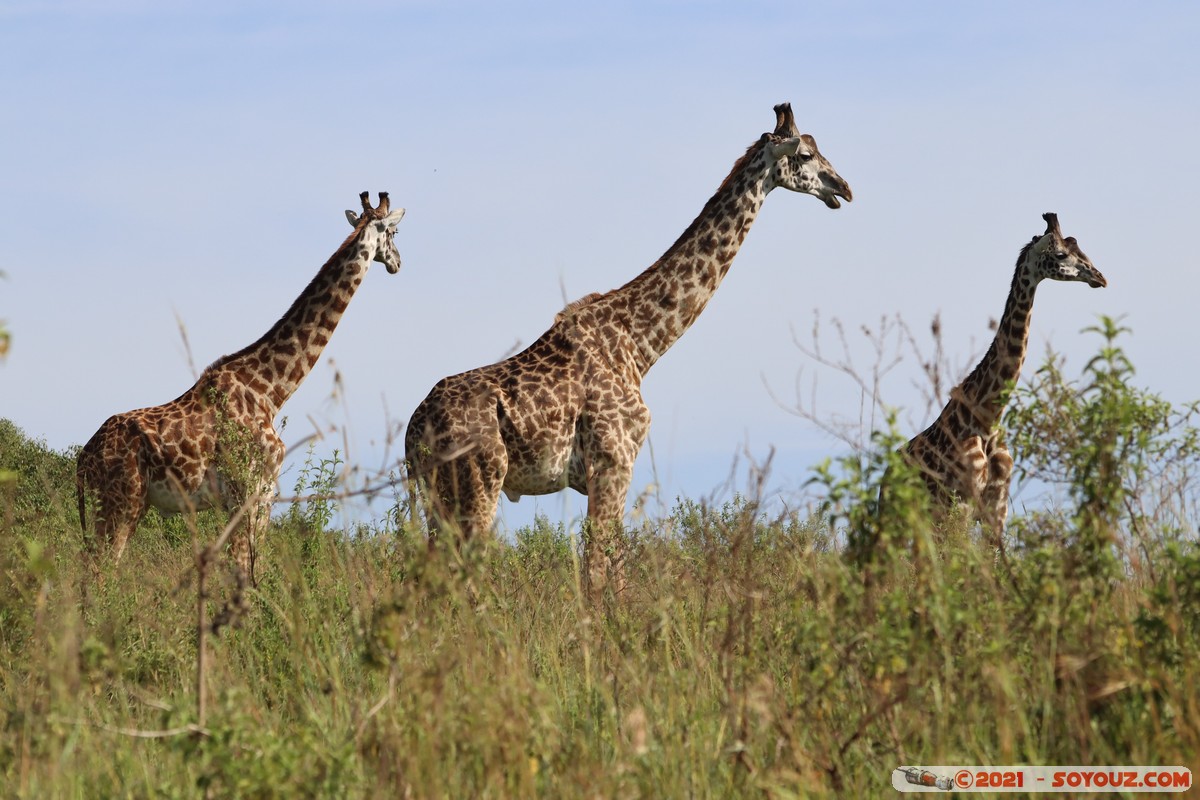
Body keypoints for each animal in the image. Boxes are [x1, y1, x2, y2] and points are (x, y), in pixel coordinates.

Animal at [79, 194, 408, 582]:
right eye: (395, 232)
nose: (399, 262)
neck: (270, 389)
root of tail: (83, 458)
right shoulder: (252, 488)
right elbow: (246, 569)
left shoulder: (254, 493)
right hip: (122, 501)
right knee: (102, 571)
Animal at [405, 101, 854, 599]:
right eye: (807, 155)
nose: (844, 189)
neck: (642, 345)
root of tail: (413, 431)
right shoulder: (613, 462)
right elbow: (601, 571)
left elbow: (611, 568)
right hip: (479, 484)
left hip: (440, 497)